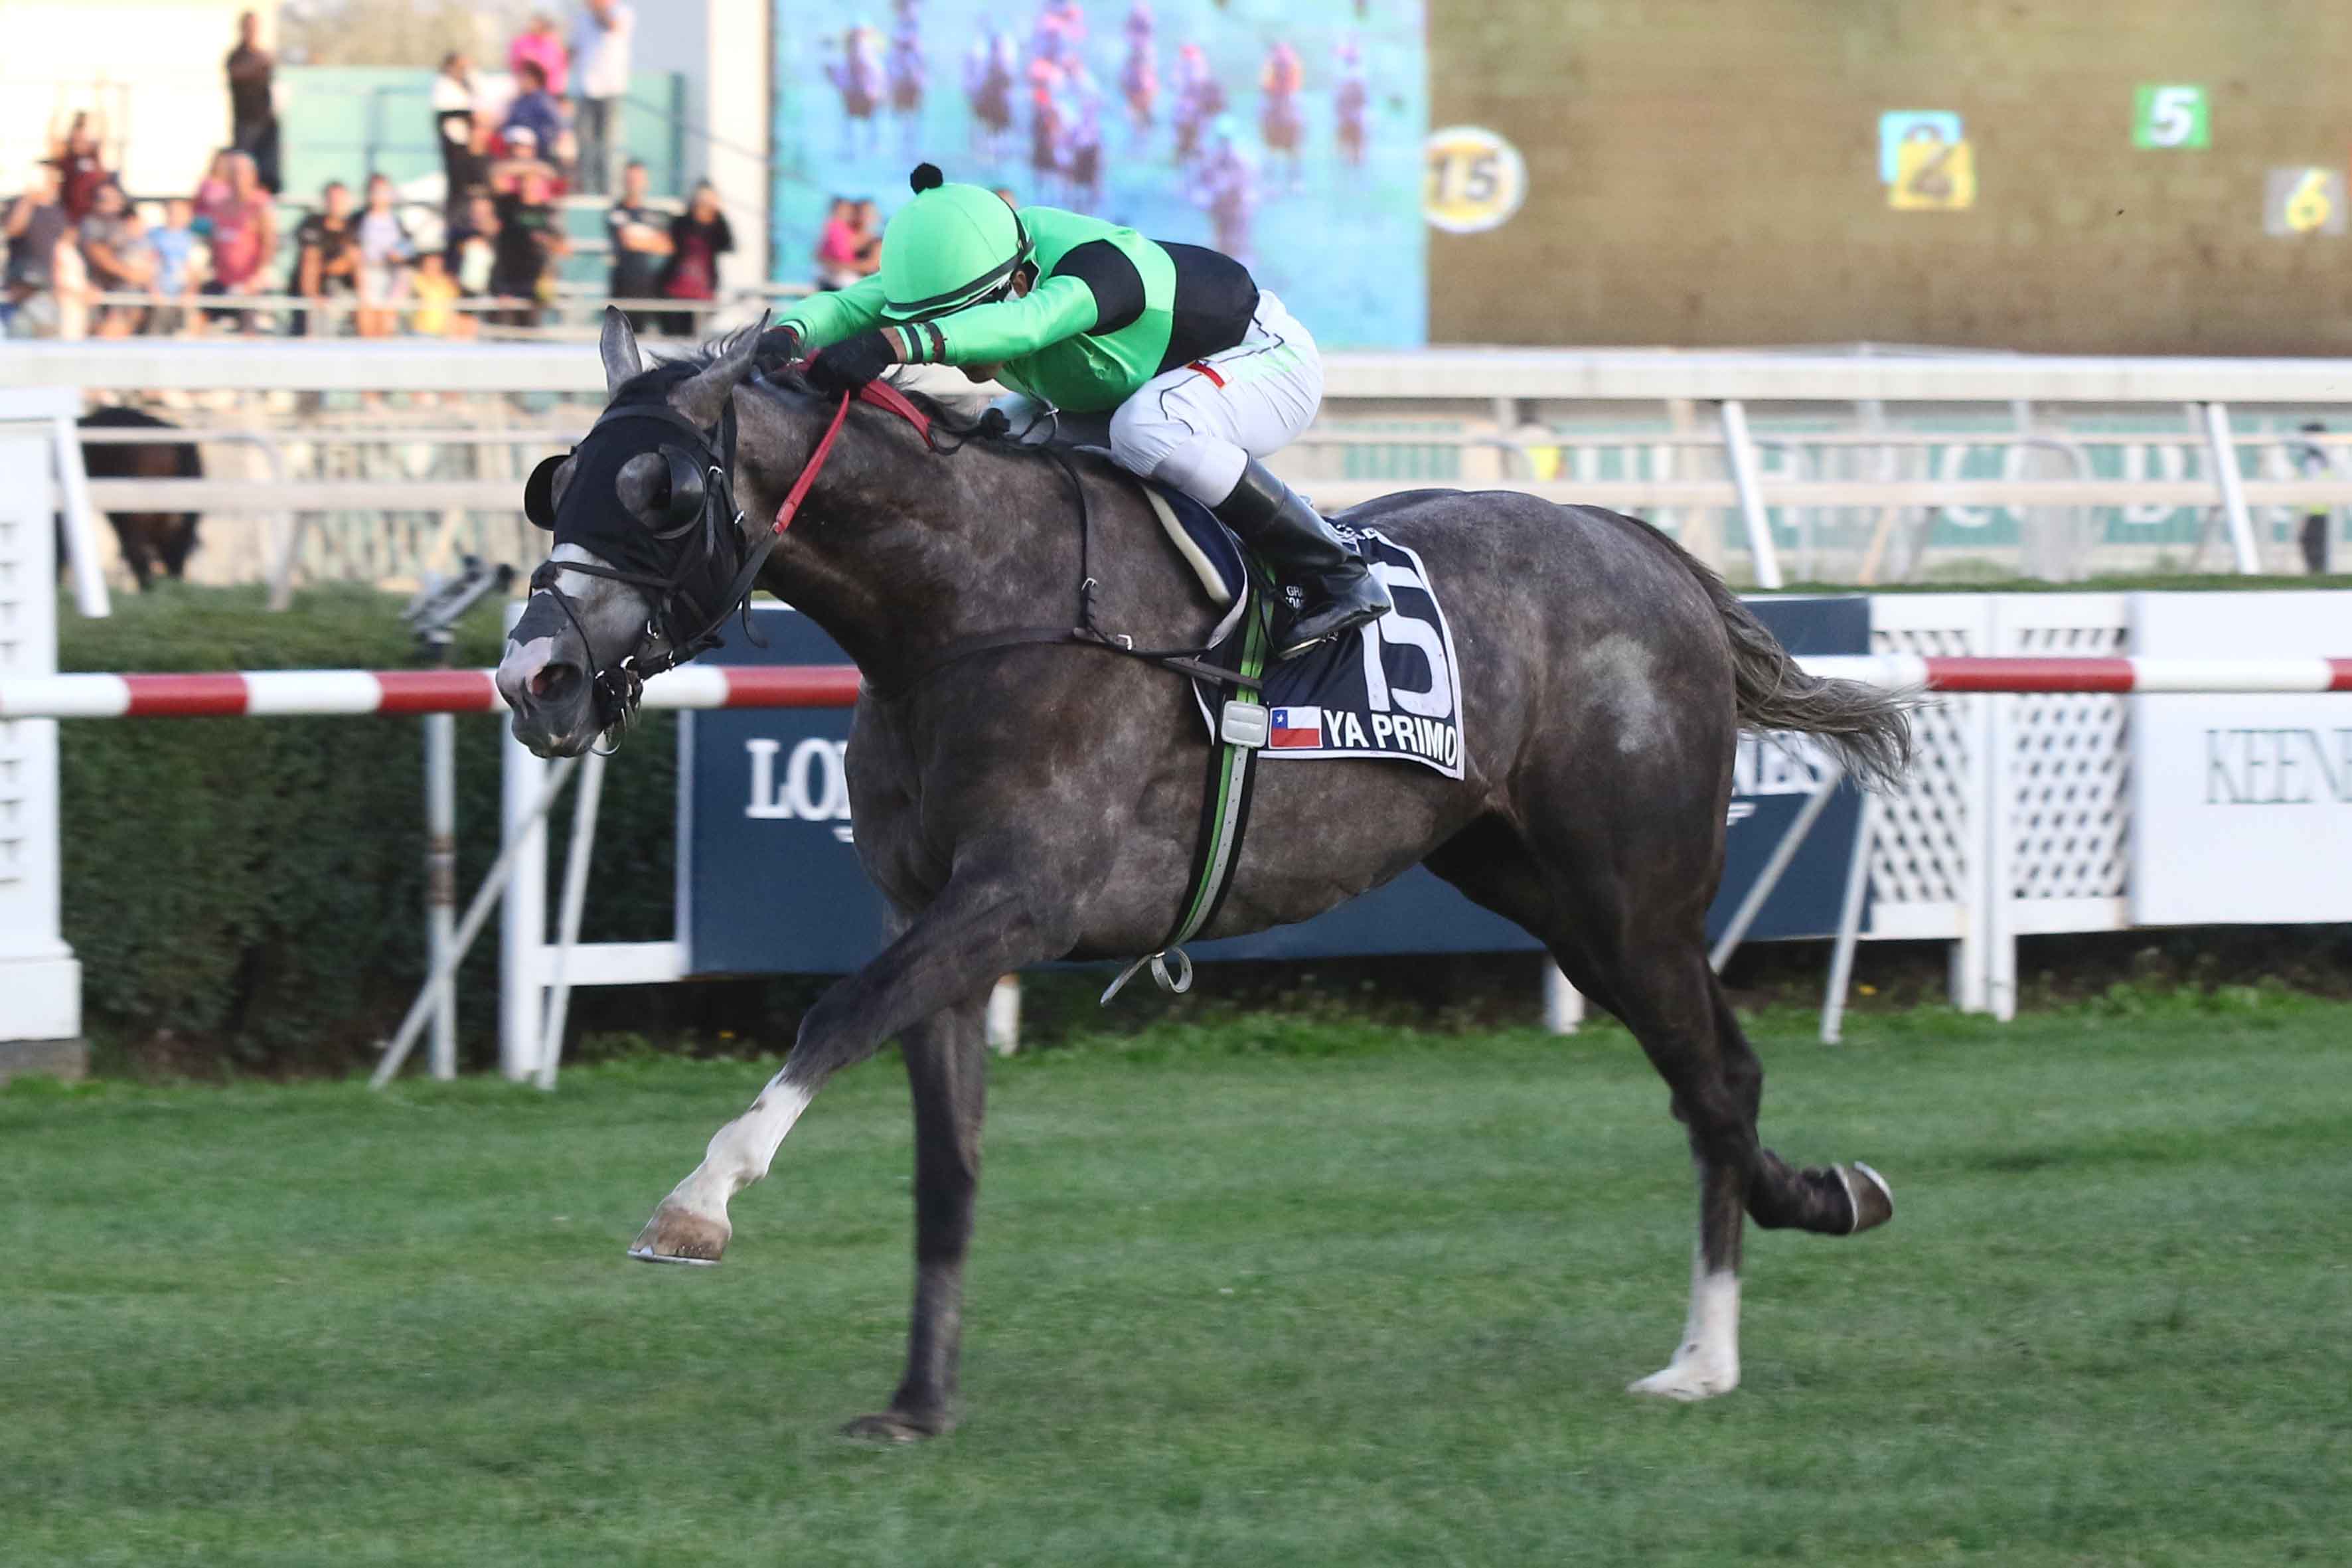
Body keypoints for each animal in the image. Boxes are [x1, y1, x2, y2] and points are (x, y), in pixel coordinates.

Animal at [496, 312, 1909, 1439]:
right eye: (555, 485)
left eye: (658, 491)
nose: (533, 675)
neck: (968, 607)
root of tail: (1646, 548)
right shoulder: (935, 918)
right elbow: (945, 1164)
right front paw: (916, 1402)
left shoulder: (1018, 897)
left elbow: (833, 1012)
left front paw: (696, 1202)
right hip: (1546, 895)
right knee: (1713, 1077)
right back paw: (1819, 1200)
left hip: (1630, 893)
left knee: (1713, 1080)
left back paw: (1702, 1358)